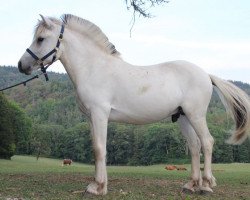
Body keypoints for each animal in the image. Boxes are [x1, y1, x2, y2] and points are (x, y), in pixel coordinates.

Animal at [18, 14, 250, 195]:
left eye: (40, 39)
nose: (21, 65)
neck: (94, 68)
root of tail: (206, 74)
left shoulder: (100, 114)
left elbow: (99, 149)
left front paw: (97, 187)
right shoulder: (91, 118)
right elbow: (97, 149)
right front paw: (98, 185)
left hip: (196, 115)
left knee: (207, 142)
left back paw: (206, 186)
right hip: (183, 117)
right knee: (194, 147)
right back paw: (190, 185)